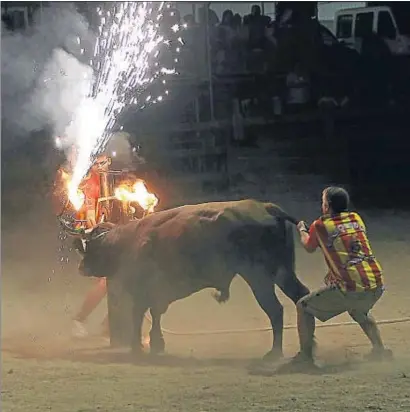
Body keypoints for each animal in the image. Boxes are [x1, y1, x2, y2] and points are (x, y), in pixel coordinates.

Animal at [60, 198, 310, 358]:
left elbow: (140, 314)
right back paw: (305, 348)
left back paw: (275, 352)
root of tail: (266, 207)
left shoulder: (143, 292)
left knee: (275, 310)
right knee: (301, 296)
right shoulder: (157, 294)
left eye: (90, 248)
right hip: (283, 271)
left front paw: (138, 346)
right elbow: (156, 314)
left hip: (259, 277)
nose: (81, 268)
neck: (130, 241)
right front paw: (156, 343)